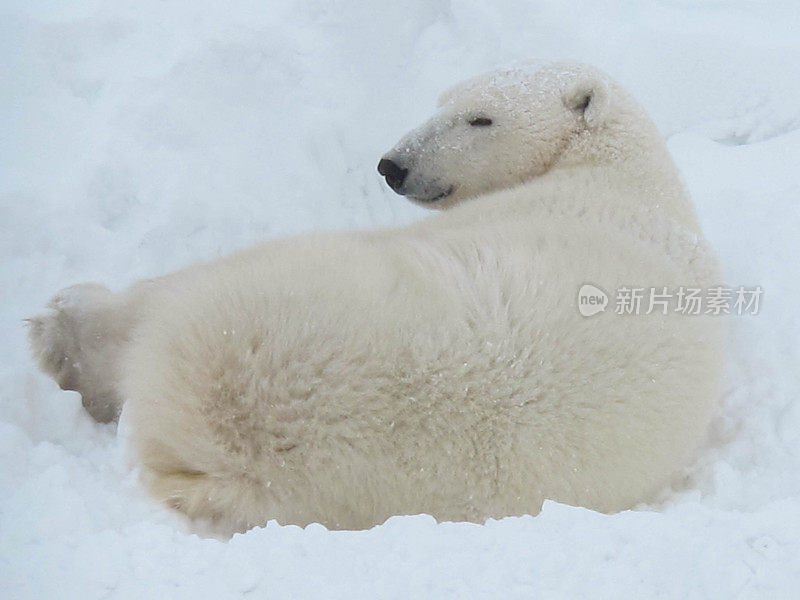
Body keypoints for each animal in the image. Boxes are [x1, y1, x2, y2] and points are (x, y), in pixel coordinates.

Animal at [28, 63, 720, 532]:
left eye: (481, 118)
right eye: (441, 100)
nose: (394, 165)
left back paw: (69, 335)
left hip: (281, 293)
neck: (619, 169)